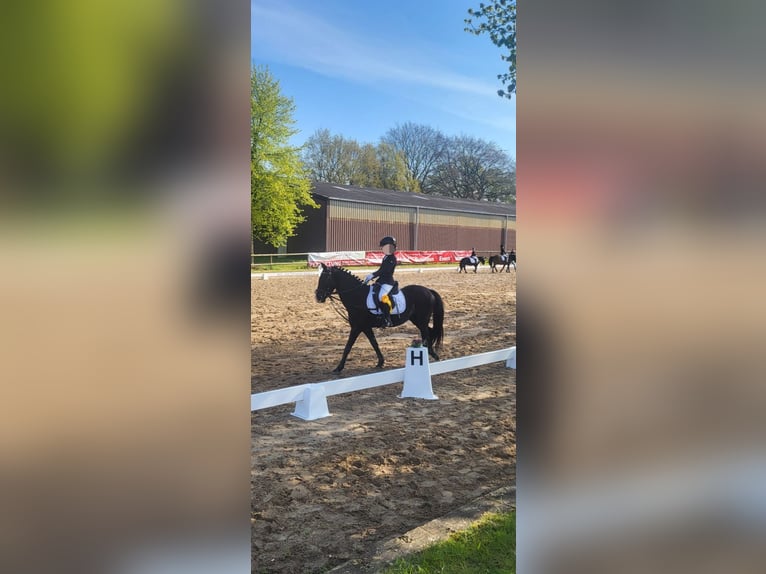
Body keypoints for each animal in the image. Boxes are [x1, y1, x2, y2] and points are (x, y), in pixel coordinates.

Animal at [316, 264, 444, 374]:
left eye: (325, 278)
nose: (318, 296)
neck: (357, 296)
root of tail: (428, 290)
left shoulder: (357, 327)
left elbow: (348, 346)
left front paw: (338, 368)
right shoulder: (365, 327)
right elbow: (374, 343)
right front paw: (380, 362)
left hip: (422, 320)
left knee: (427, 333)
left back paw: (433, 355)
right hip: (417, 320)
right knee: (429, 331)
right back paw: (430, 354)